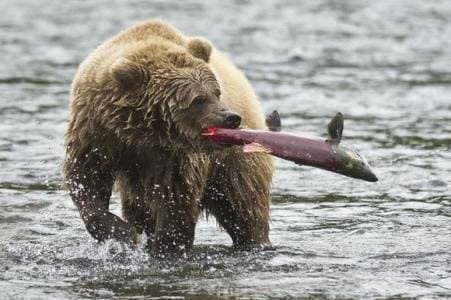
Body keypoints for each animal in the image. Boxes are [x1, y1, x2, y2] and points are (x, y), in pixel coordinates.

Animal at [64, 19, 274, 255]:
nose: (231, 118)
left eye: (216, 92)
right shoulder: (98, 132)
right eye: (198, 99)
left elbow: (176, 198)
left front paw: (167, 246)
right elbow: (87, 177)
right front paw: (123, 233)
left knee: (242, 205)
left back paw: (255, 241)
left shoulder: (178, 156)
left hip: (234, 163)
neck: (142, 130)